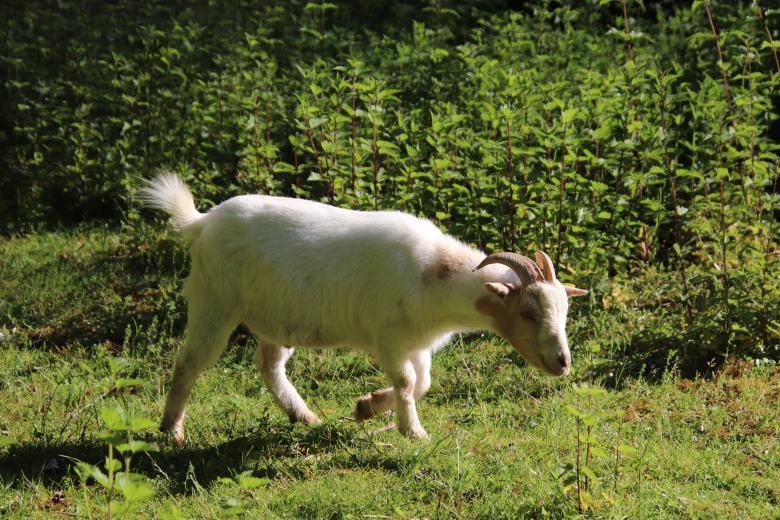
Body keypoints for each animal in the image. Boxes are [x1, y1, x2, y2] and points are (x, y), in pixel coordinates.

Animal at [140, 173, 588, 444]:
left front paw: (367, 407)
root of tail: (202, 222)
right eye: (527, 313)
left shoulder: (416, 344)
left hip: (276, 318)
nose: (562, 362)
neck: (433, 275)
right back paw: (172, 431)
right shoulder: (387, 336)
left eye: (564, 312)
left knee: (268, 364)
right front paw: (413, 432)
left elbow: (421, 382)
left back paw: (305, 417)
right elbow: (408, 382)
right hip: (214, 302)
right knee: (190, 361)